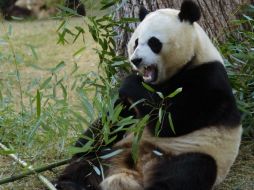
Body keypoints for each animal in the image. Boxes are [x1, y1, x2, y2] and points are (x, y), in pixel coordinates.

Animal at [56, 0, 242, 189]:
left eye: (154, 42)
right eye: (136, 42)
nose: (135, 60)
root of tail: (135, 169)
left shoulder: (208, 79)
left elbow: (170, 121)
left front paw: (130, 82)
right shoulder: (129, 109)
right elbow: (109, 121)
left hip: (189, 151)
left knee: (188, 170)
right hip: (112, 152)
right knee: (88, 165)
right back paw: (68, 182)